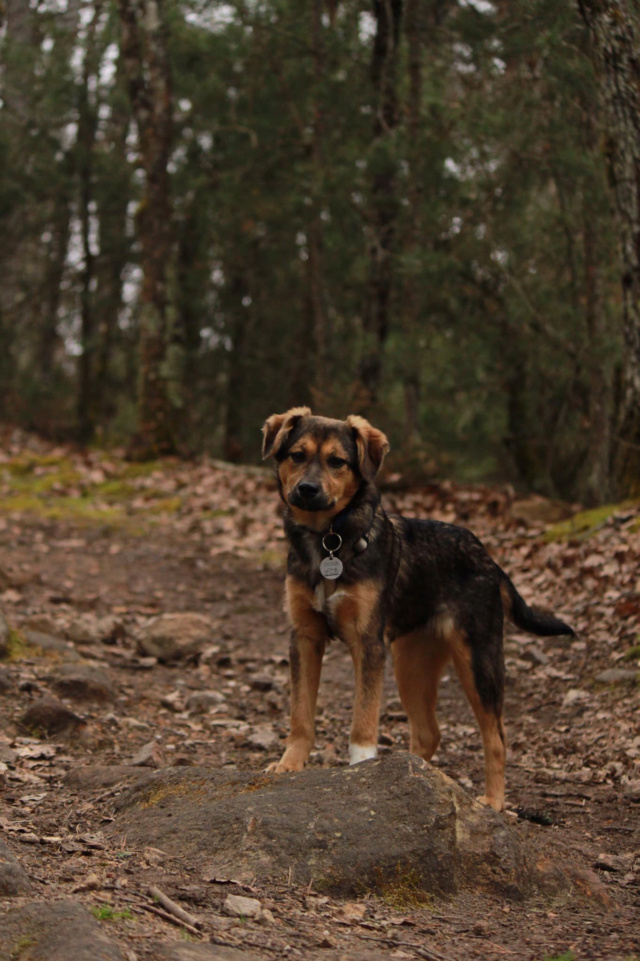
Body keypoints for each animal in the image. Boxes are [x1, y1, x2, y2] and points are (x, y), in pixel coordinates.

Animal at [260, 404, 576, 808]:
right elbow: (300, 714)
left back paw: (492, 801)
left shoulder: (368, 643)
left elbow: (363, 719)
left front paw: (361, 768)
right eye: (297, 456)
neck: (328, 542)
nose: (307, 490)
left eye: (337, 462)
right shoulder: (304, 637)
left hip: (478, 660)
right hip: (410, 662)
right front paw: (289, 764)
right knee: (428, 733)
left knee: (497, 738)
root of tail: (488, 558)